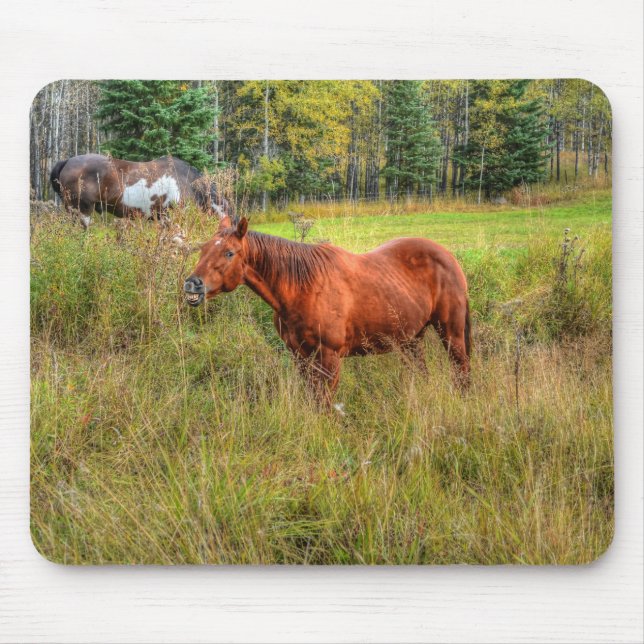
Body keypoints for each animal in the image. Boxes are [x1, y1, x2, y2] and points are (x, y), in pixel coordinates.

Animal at [183, 216, 471, 406]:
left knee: (461, 370)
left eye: (229, 253)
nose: (192, 285)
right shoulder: (300, 356)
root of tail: (448, 256)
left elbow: (325, 403)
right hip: (410, 339)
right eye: (203, 249)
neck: (303, 288)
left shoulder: (329, 358)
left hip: (450, 334)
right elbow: (313, 400)